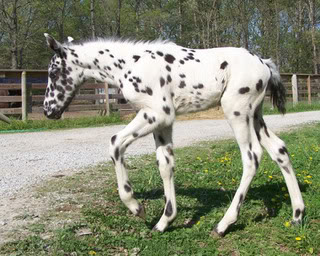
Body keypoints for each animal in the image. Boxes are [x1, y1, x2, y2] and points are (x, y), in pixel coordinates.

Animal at [43, 33, 304, 236]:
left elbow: (115, 143)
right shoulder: (162, 124)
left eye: (54, 72)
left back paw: (223, 225)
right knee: (279, 150)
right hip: (256, 115)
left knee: (252, 157)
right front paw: (164, 221)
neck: (129, 64)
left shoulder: (157, 114)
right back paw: (297, 215)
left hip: (237, 111)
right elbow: (165, 165)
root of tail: (263, 63)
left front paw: (136, 207)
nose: (48, 111)